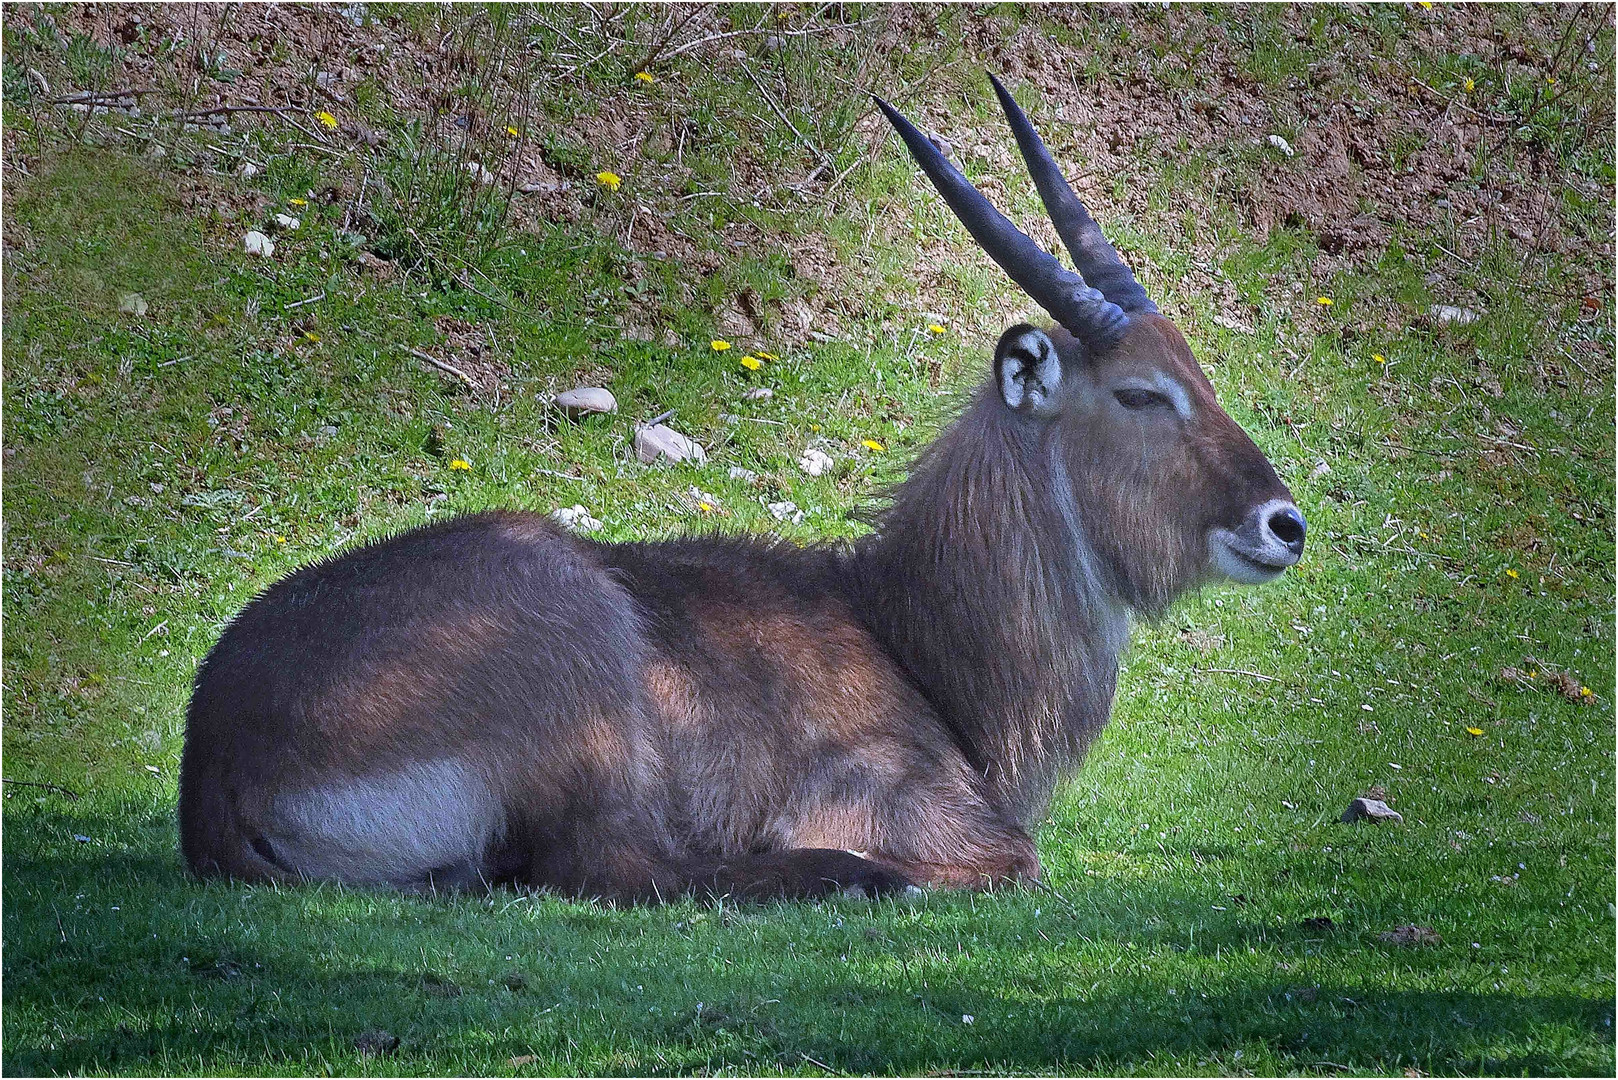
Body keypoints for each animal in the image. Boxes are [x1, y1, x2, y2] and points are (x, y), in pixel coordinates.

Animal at [183, 78, 1307, 906]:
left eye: (1200, 374)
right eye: (1141, 392)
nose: (1284, 523)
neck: (903, 630)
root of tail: (218, 760)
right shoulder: (895, 800)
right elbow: (1014, 860)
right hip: (573, 640)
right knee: (612, 871)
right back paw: (853, 879)